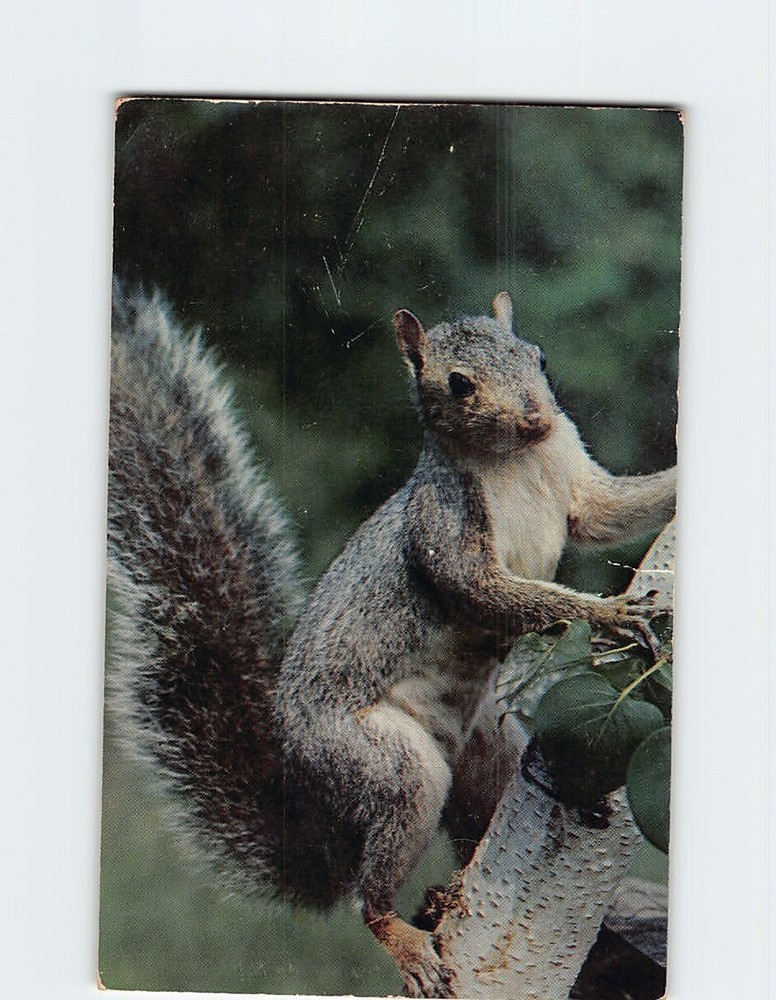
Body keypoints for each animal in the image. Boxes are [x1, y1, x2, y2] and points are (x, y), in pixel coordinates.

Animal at [107, 285, 676, 997]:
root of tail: (313, 792)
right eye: (458, 384)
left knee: (486, 813)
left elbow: (609, 511)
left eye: (537, 356)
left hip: (489, 747)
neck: (514, 461)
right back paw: (404, 935)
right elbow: (484, 590)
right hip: (386, 765)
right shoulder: (444, 523)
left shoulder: (574, 480)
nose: (536, 419)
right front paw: (607, 612)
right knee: (371, 891)